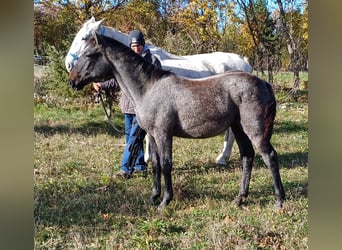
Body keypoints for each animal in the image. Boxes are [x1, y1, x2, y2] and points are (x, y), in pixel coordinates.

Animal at [69, 33, 286, 209]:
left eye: (89, 55)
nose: (72, 80)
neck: (149, 89)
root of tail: (264, 83)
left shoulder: (163, 134)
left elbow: (166, 164)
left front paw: (165, 201)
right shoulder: (152, 135)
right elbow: (156, 164)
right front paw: (154, 197)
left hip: (255, 131)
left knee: (269, 156)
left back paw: (279, 200)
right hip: (239, 129)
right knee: (247, 157)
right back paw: (239, 198)